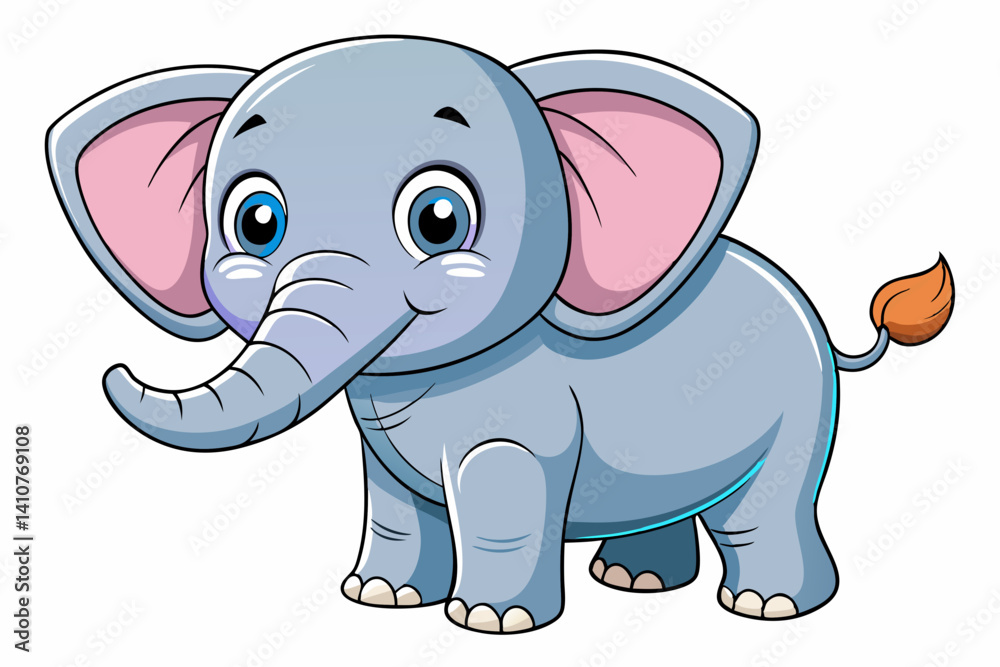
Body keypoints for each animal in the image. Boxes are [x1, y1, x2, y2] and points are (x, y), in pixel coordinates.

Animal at [47, 36, 954, 634]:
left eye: (439, 219)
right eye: (256, 222)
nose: (114, 369)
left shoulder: (521, 420)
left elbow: (501, 486)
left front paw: (489, 622)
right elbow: (396, 501)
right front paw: (378, 599)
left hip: (801, 407)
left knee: (763, 505)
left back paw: (768, 606)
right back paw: (633, 580)